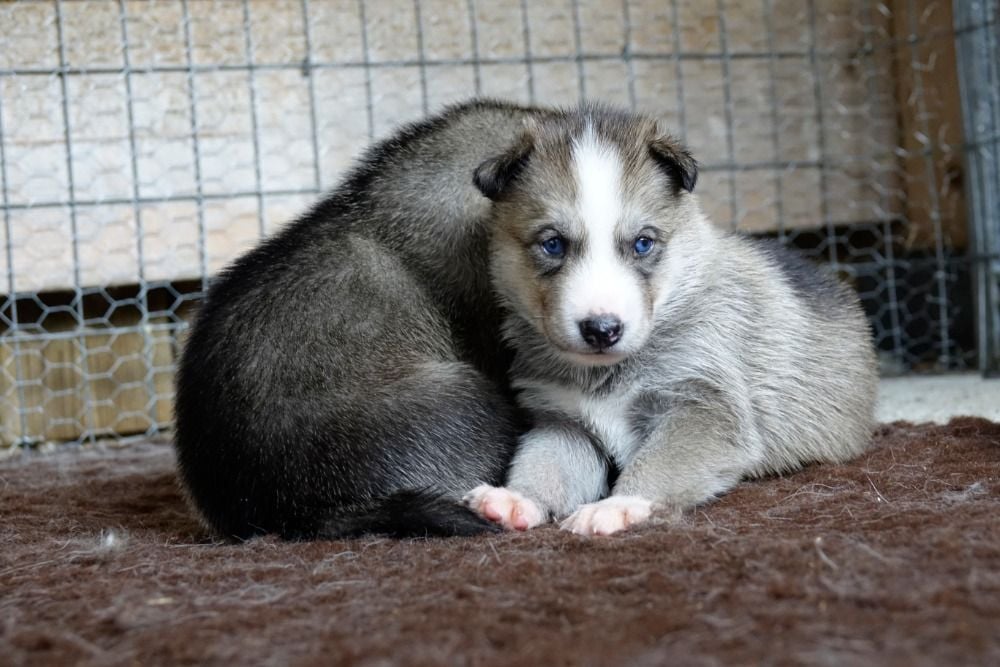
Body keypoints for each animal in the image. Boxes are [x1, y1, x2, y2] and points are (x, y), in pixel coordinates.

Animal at [462, 103, 876, 536]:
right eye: (553, 244)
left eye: (643, 243)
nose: (602, 330)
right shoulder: (564, 425)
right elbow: (545, 466)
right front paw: (516, 499)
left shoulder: (703, 409)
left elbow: (659, 463)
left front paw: (619, 506)